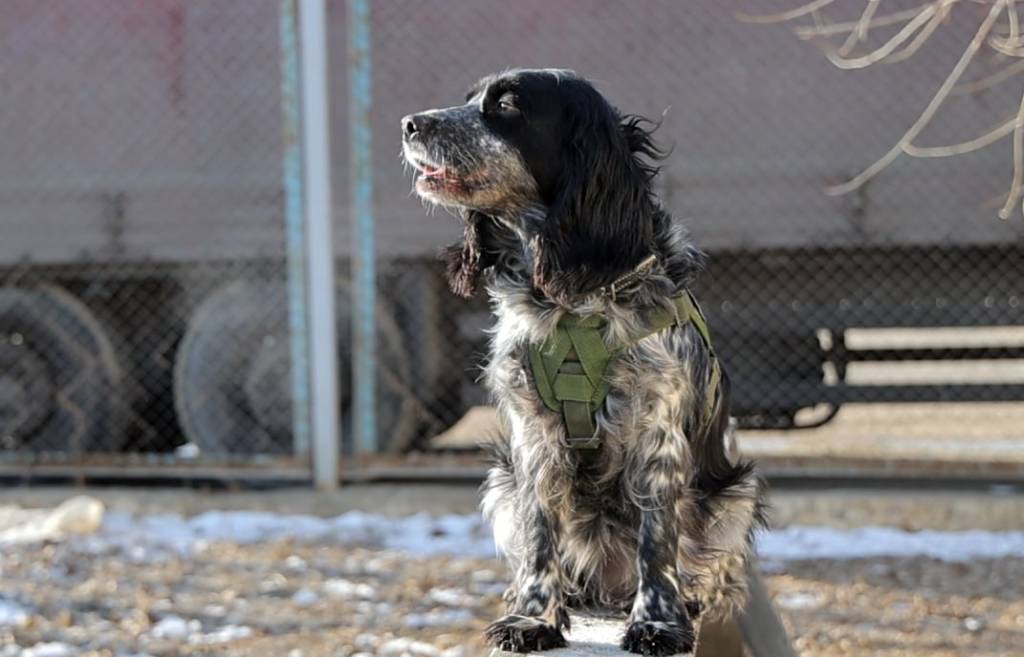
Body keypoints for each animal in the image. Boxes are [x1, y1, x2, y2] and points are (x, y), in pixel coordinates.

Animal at [402, 69, 766, 656]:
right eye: (468, 100)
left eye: (507, 105)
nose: (410, 123)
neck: (574, 300)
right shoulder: (532, 436)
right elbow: (541, 538)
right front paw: (533, 618)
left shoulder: (657, 435)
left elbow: (657, 542)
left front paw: (657, 623)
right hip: (500, 481)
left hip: (738, 491)